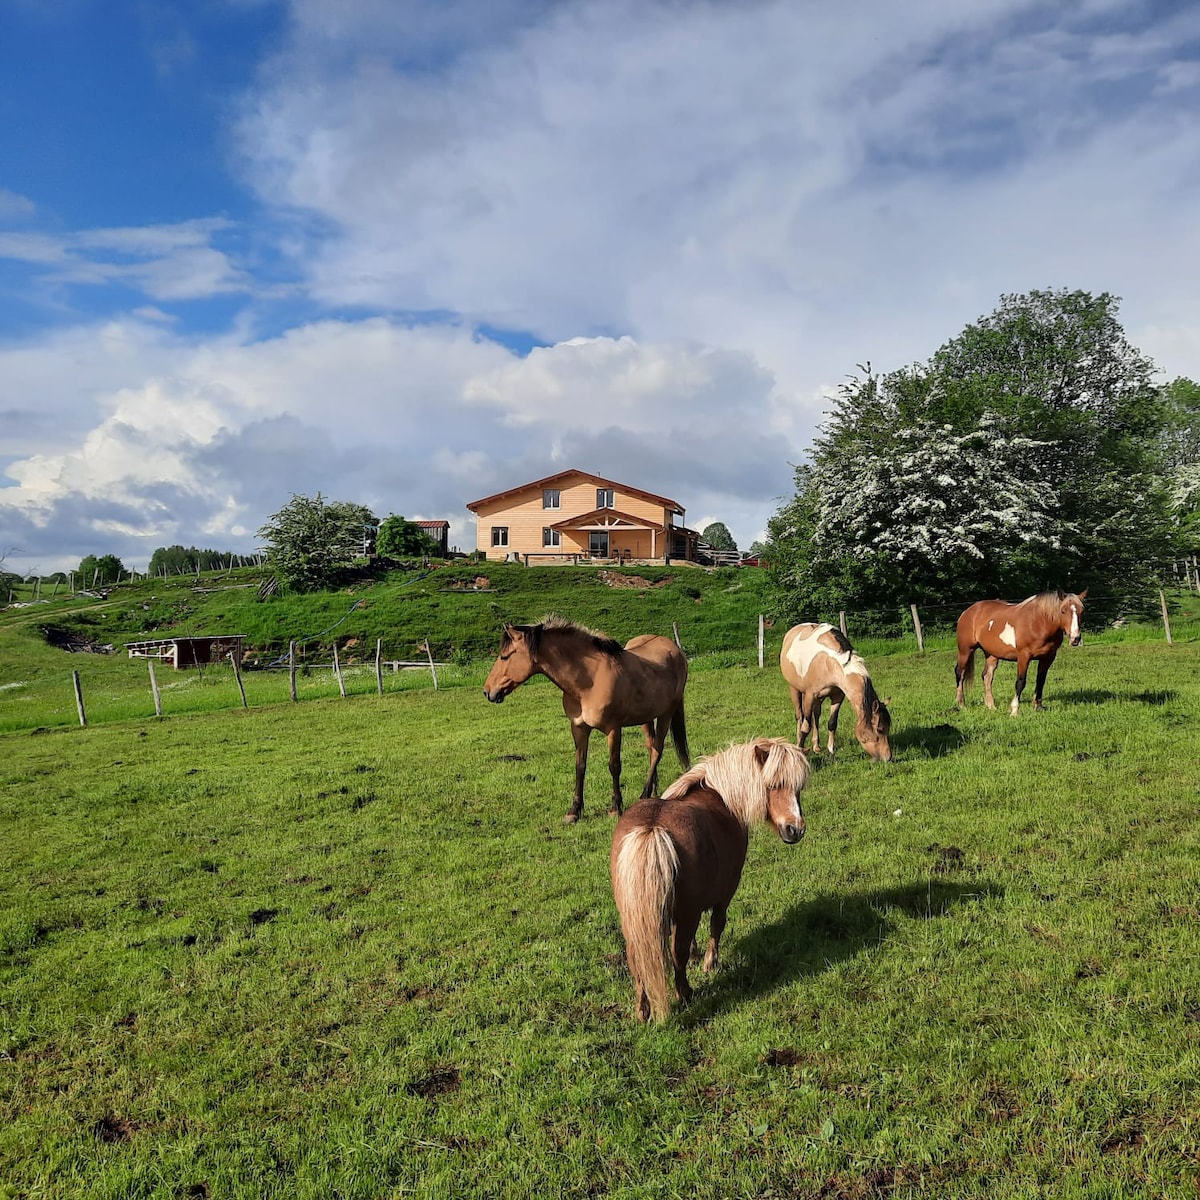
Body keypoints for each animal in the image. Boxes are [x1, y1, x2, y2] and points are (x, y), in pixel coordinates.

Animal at [477, 619, 686, 825]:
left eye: (504, 657)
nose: (488, 691)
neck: (589, 681)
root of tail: (674, 649)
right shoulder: (579, 728)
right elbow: (580, 766)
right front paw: (574, 811)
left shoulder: (613, 729)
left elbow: (614, 766)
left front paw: (615, 808)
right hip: (647, 717)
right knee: (651, 747)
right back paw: (652, 792)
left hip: (667, 713)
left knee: (657, 751)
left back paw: (643, 795)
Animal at [609, 739, 806, 1022]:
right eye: (773, 785)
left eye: (799, 788)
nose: (795, 829)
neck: (721, 796)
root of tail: (652, 829)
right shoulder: (725, 892)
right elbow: (716, 925)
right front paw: (710, 963)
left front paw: (696, 955)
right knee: (676, 954)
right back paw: (685, 993)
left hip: (634, 917)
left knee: (638, 959)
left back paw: (642, 1009)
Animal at [777, 628, 892, 758]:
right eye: (879, 729)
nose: (888, 757)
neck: (830, 663)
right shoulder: (810, 696)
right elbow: (805, 727)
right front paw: (800, 750)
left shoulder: (837, 696)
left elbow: (832, 723)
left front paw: (831, 750)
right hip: (794, 689)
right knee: (799, 716)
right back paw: (798, 742)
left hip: (819, 698)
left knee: (816, 716)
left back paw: (816, 746)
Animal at [955, 588, 1089, 715]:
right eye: (1063, 611)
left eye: (1082, 611)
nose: (1075, 638)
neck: (1039, 622)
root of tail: (968, 611)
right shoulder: (1024, 656)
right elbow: (1020, 682)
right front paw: (1014, 711)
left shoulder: (1048, 658)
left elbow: (1041, 681)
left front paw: (1038, 707)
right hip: (965, 650)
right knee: (960, 673)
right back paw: (961, 705)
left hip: (991, 654)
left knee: (987, 676)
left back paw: (991, 706)